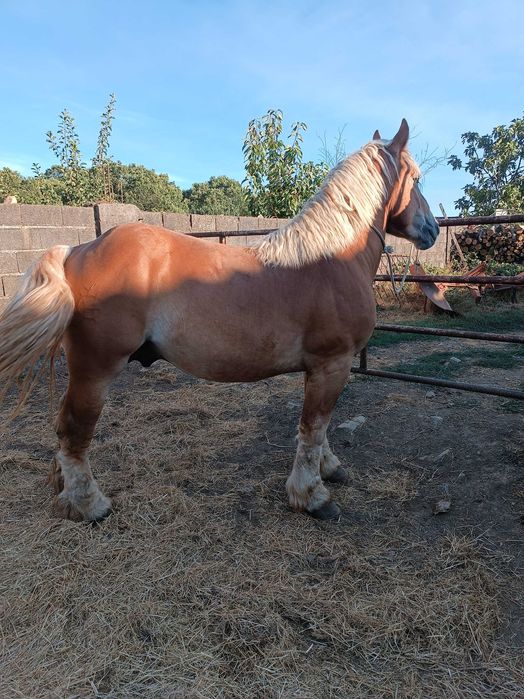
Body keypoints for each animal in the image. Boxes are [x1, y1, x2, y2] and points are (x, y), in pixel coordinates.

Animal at [0, 119, 439, 522]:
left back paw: (63, 492)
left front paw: (328, 468)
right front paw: (311, 495)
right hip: (95, 370)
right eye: (417, 177)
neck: (331, 258)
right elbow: (313, 427)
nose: (433, 230)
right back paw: (89, 505)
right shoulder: (333, 363)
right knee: (74, 429)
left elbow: (320, 426)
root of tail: (78, 249)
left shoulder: (323, 368)